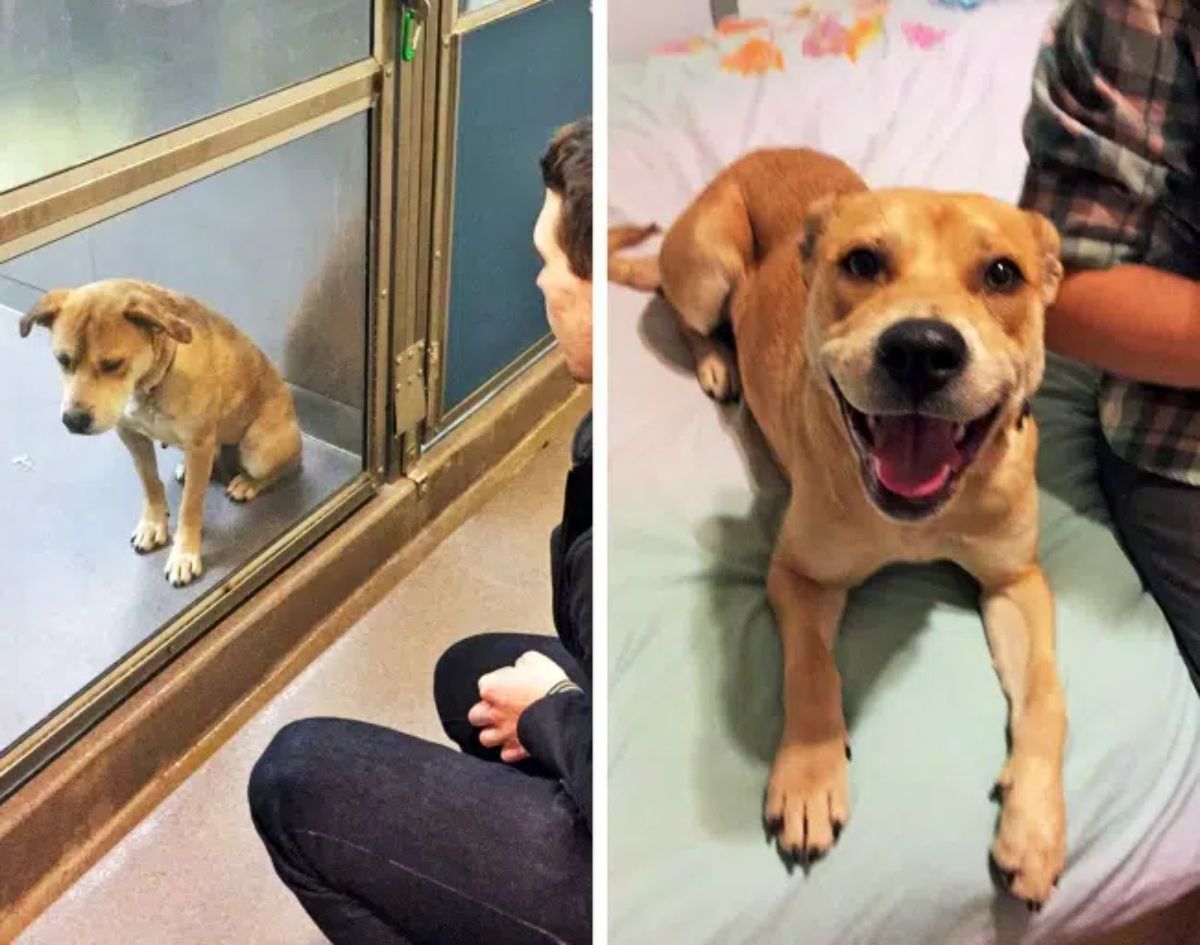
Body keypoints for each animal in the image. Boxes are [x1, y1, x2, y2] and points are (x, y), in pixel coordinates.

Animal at [19, 278, 302, 590]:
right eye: (62, 360)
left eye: (113, 364)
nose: (73, 421)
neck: (152, 381)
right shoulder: (131, 436)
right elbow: (150, 484)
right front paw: (153, 524)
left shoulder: (199, 444)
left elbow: (190, 507)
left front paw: (184, 555)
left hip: (258, 450)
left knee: (283, 467)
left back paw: (248, 483)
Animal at [614, 147, 1065, 906]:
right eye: (861, 262)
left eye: (1003, 273)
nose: (921, 349)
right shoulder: (800, 576)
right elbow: (812, 669)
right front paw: (809, 776)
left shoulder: (1016, 582)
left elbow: (1046, 694)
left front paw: (1035, 823)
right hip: (709, 263)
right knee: (694, 313)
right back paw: (717, 362)